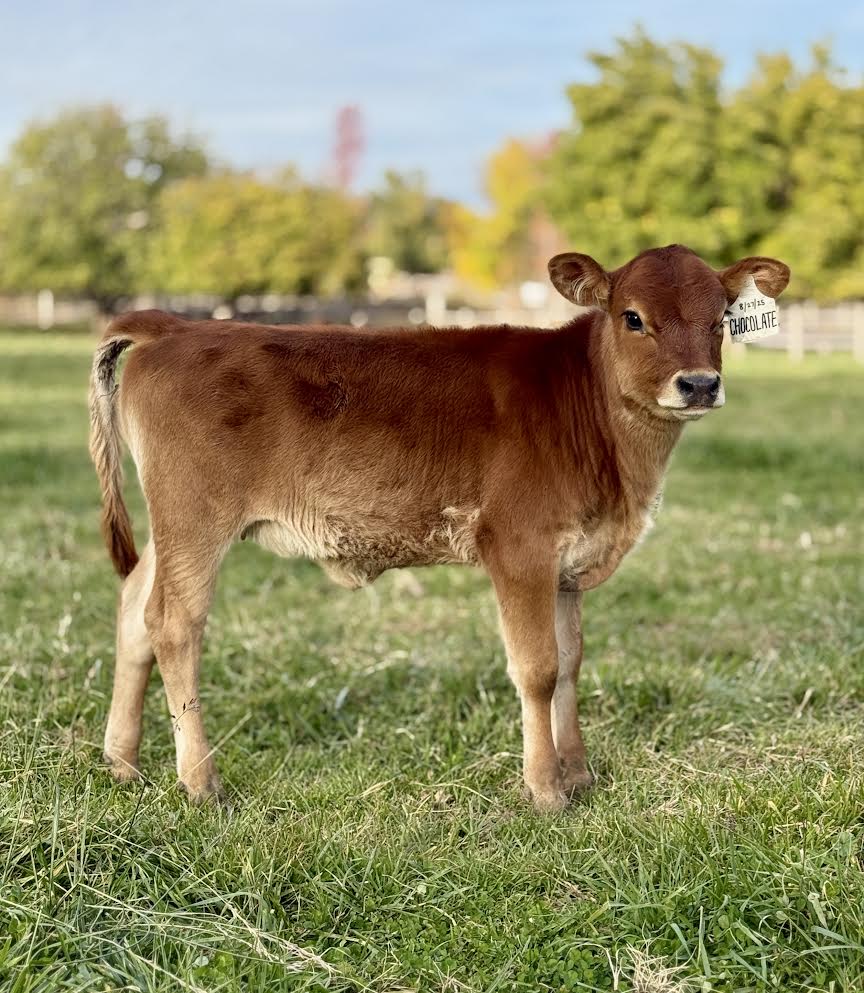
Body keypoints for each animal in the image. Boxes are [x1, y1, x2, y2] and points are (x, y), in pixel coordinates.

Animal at [89, 245, 790, 811]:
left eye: (724, 316)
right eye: (633, 317)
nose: (698, 384)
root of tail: (174, 326)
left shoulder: (567, 566)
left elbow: (570, 664)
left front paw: (580, 774)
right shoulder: (519, 547)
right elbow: (537, 669)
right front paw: (546, 790)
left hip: (169, 530)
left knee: (133, 611)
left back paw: (122, 763)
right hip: (195, 518)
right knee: (174, 626)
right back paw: (200, 782)